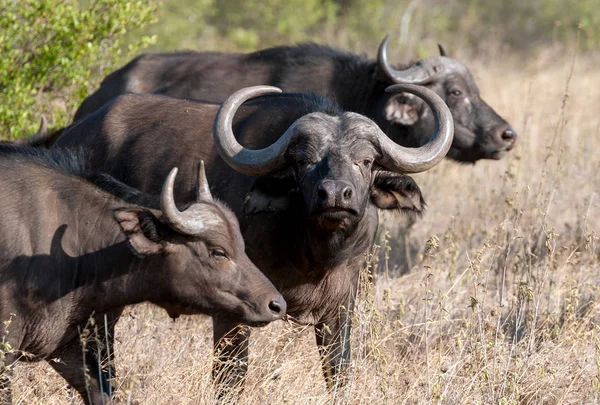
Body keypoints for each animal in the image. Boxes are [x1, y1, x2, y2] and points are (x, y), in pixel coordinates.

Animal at [0, 146, 284, 404]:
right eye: (218, 252)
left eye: (242, 246)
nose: (276, 305)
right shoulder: (5, 352)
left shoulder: (65, 345)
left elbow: (102, 391)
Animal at [51, 83, 452, 392]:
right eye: (303, 161)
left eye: (366, 161)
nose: (335, 195)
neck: (311, 254)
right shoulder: (234, 310)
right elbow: (231, 377)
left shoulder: (340, 309)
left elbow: (338, 372)